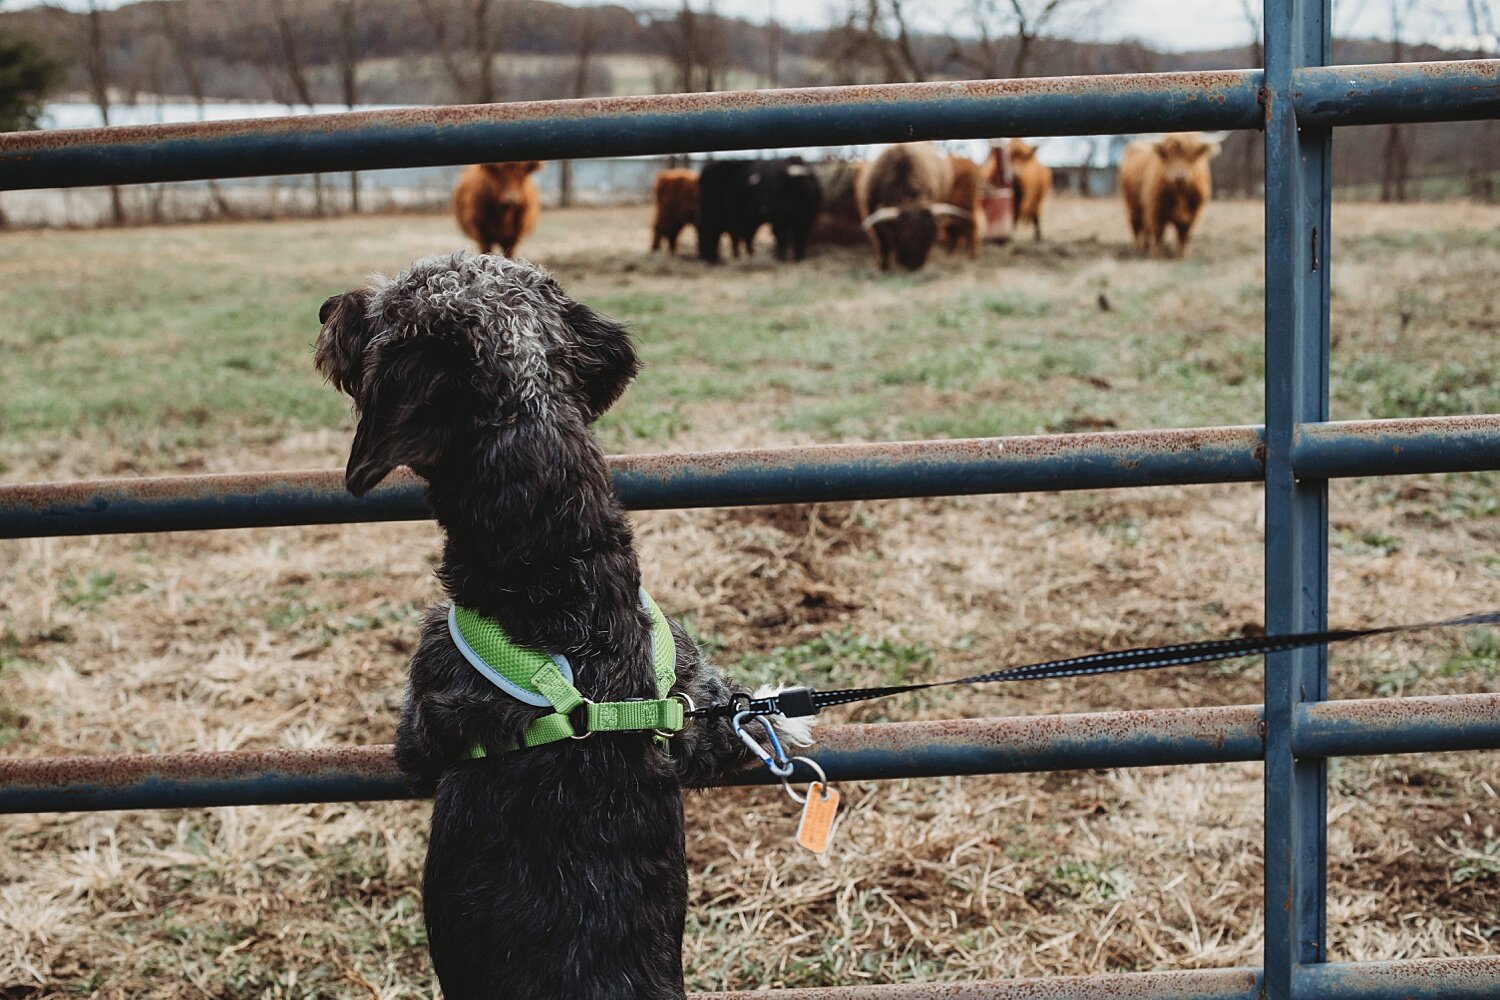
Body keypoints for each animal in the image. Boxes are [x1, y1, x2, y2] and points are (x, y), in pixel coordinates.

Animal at [858, 142, 960, 271]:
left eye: (931, 238)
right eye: (901, 236)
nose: (914, 264)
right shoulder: (872, 214)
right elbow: (883, 243)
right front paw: (884, 266)